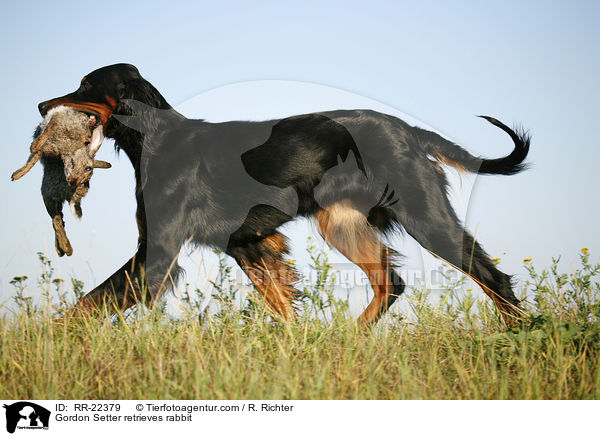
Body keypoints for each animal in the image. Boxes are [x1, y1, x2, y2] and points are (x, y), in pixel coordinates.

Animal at [37, 63, 528, 326]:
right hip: (342, 225)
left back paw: (518, 336)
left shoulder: (156, 254)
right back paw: (350, 339)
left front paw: (51, 337)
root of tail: (408, 130)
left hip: (425, 215)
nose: (42, 105)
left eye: (86, 86)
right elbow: (282, 306)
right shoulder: (250, 245)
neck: (156, 139)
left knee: (492, 277)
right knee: (390, 281)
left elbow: (89, 301)